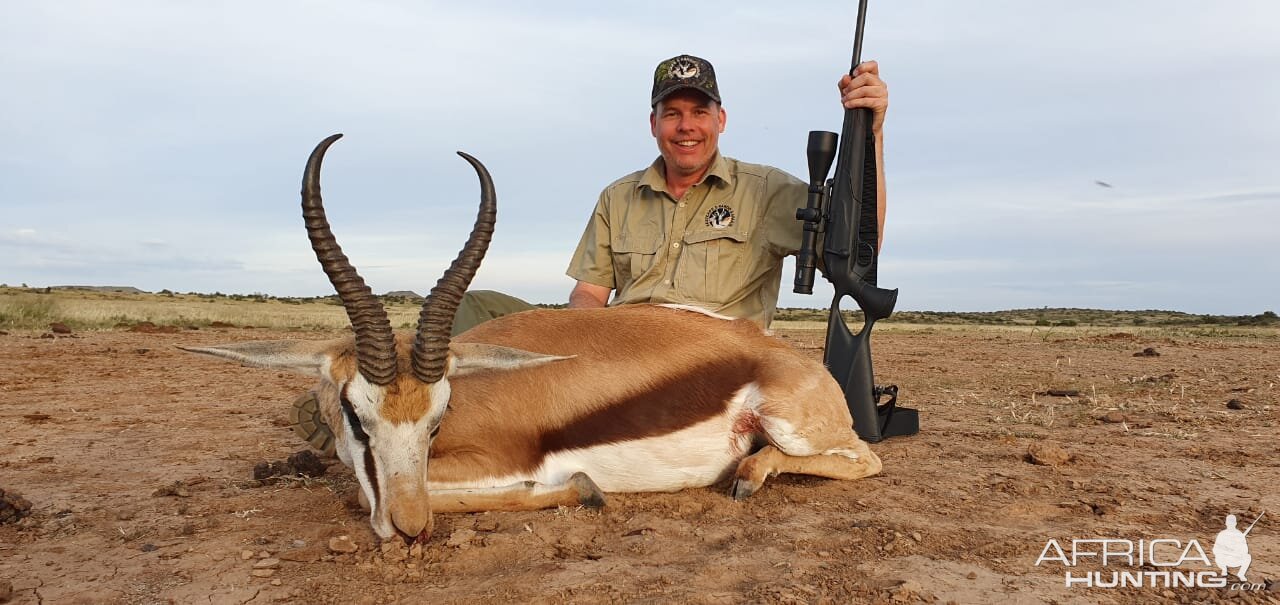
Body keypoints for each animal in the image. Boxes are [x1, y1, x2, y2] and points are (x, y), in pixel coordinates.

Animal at [183, 134, 880, 539]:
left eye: (436, 418)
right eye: (356, 416)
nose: (409, 529)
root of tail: (785, 357)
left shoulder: (497, 464)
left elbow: (364, 495)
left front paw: (580, 490)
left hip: (793, 424)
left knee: (864, 459)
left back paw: (749, 474)